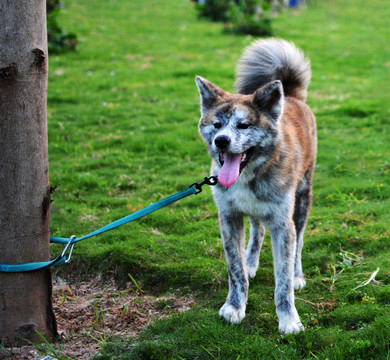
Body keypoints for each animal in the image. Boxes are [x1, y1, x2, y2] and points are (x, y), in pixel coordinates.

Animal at [195, 38, 316, 334]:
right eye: (216, 124)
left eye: (244, 125)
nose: (221, 141)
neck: (248, 174)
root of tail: (292, 97)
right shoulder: (229, 217)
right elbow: (235, 270)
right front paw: (235, 307)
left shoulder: (283, 224)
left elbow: (283, 279)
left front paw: (289, 320)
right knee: (258, 230)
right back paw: (251, 262)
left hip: (302, 198)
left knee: (299, 241)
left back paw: (298, 274)